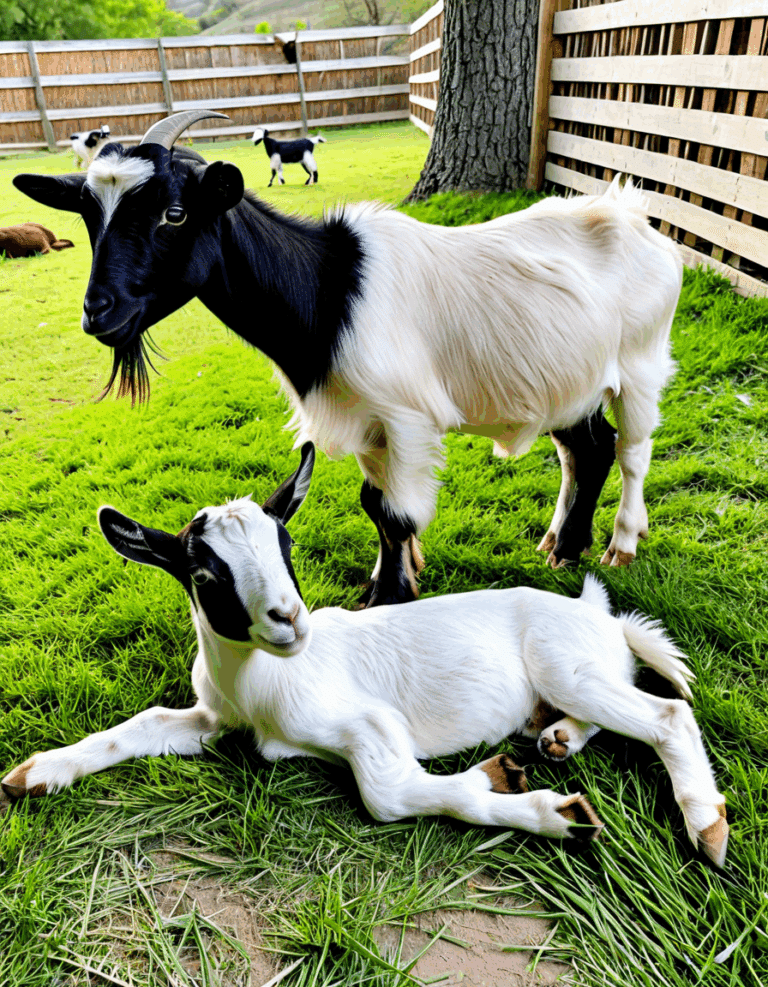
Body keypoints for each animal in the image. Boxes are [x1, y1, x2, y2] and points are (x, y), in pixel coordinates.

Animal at [0, 444, 728, 867]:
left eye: (287, 545)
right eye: (204, 573)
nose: (289, 620)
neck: (258, 686)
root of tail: (600, 614)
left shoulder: (368, 724)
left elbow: (386, 794)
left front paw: (541, 807)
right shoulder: (215, 719)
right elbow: (144, 723)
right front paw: (36, 772)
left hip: (564, 665)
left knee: (665, 715)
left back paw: (706, 827)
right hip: (575, 676)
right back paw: (556, 738)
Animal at [13, 110, 683, 608]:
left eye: (173, 214)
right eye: (88, 215)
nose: (98, 313)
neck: (327, 291)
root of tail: (635, 217)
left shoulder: (407, 417)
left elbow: (394, 511)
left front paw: (391, 597)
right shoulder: (363, 417)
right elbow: (373, 505)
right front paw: (390, 579)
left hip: (641, 364)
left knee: (632, 450)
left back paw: (621, 543)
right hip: (568, 381)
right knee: (586, 451)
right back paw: (562, 546)